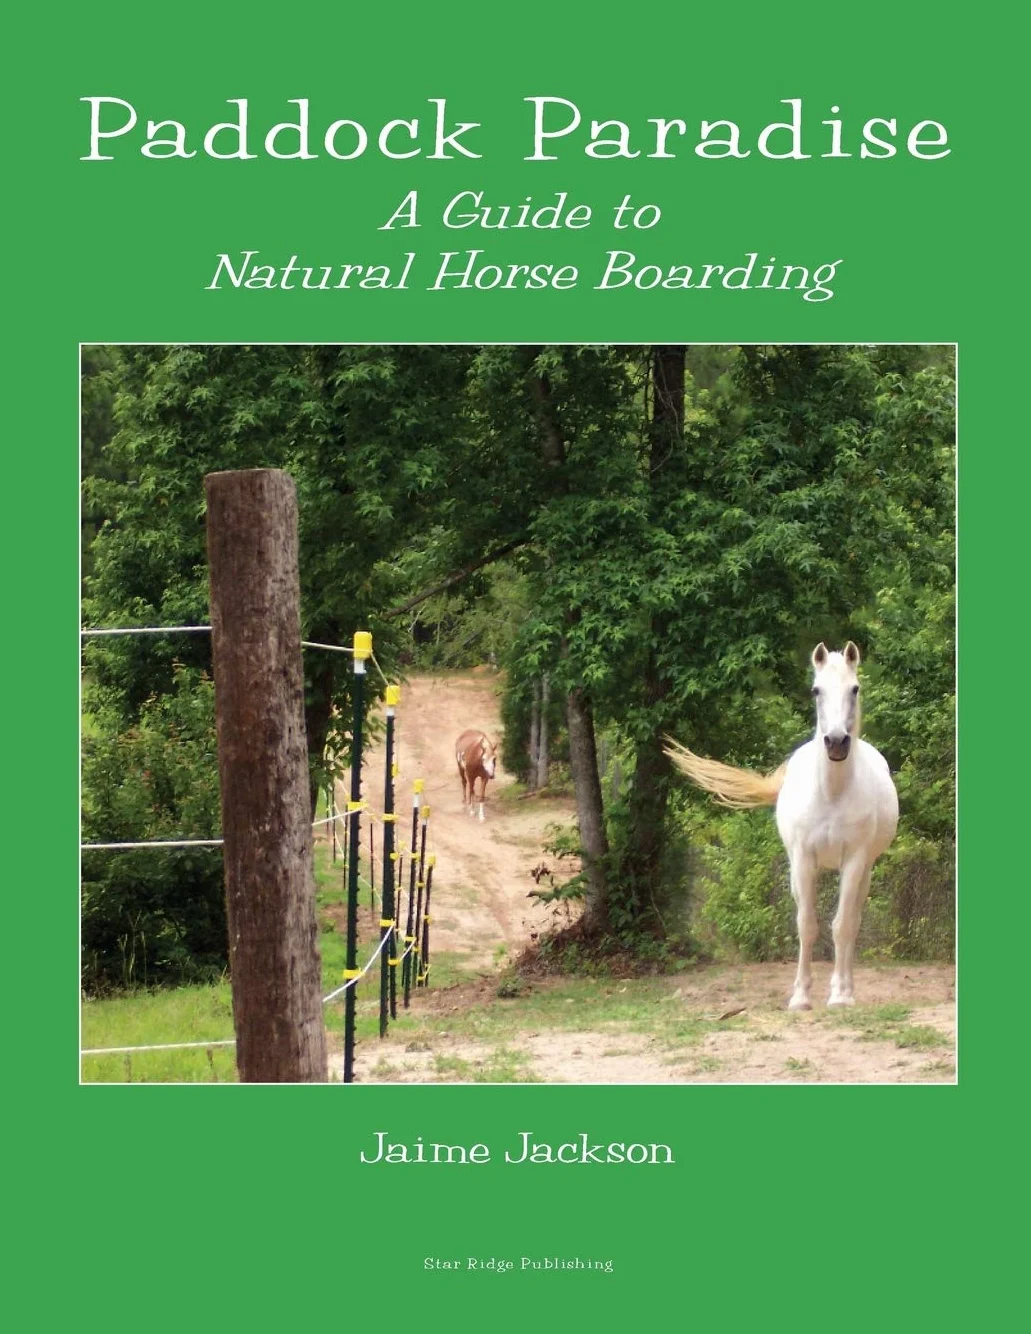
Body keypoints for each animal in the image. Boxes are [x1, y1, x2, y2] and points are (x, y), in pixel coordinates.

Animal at [665, 642, 899, 1009]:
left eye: (855, 689)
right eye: (816, 690)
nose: (836, 742)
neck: (831, 793)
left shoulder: (855, 860)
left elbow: (843, 925)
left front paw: (839, 996)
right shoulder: (803, 859)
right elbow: (806, 925)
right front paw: (800, 997)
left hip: (866, 870)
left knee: (854, 920)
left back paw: (847, 988)